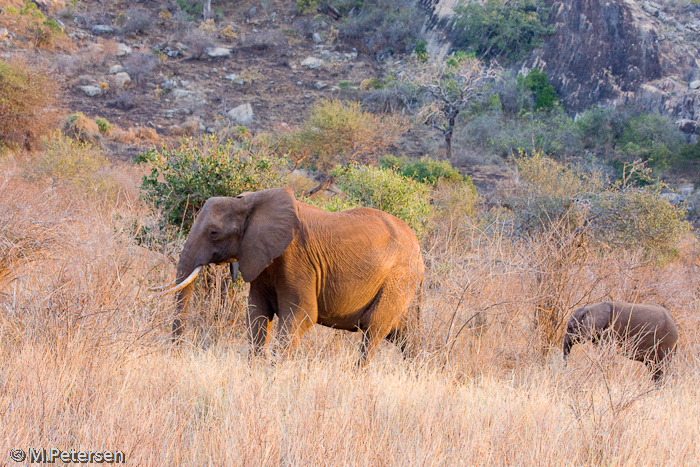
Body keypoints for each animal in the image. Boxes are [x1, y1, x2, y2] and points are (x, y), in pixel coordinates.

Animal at [160, 186, 422, 366]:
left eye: (214, 233)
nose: (177, 356)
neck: (251, 202)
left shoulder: (297, 259)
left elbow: (302, 313)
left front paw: (273, 374)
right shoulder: (260, 257)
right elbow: (256, 313)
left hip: (399, 278)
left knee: (373, 331)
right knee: (403, 334)